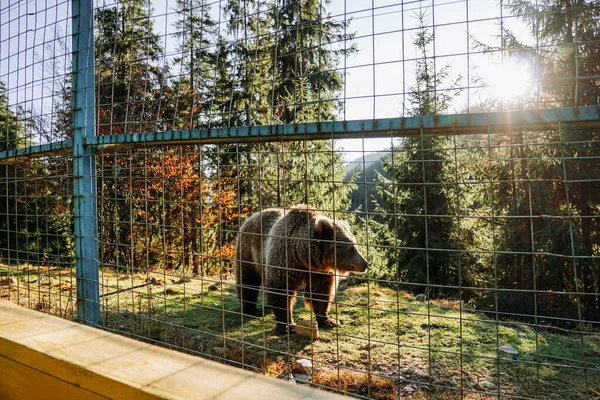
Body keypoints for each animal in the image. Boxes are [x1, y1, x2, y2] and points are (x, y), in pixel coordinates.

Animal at [233, 205, 366, 332]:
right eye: (352, 248)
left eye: (355, 244)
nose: (365, 264)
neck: (304, 257)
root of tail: (253, 215)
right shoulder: (284, 260)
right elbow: (281, 291)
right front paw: (287, 325)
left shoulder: (319, 272)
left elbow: (320, 292)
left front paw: (329, 321)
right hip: (248, 252)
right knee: (248, 281)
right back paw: (251, 309)